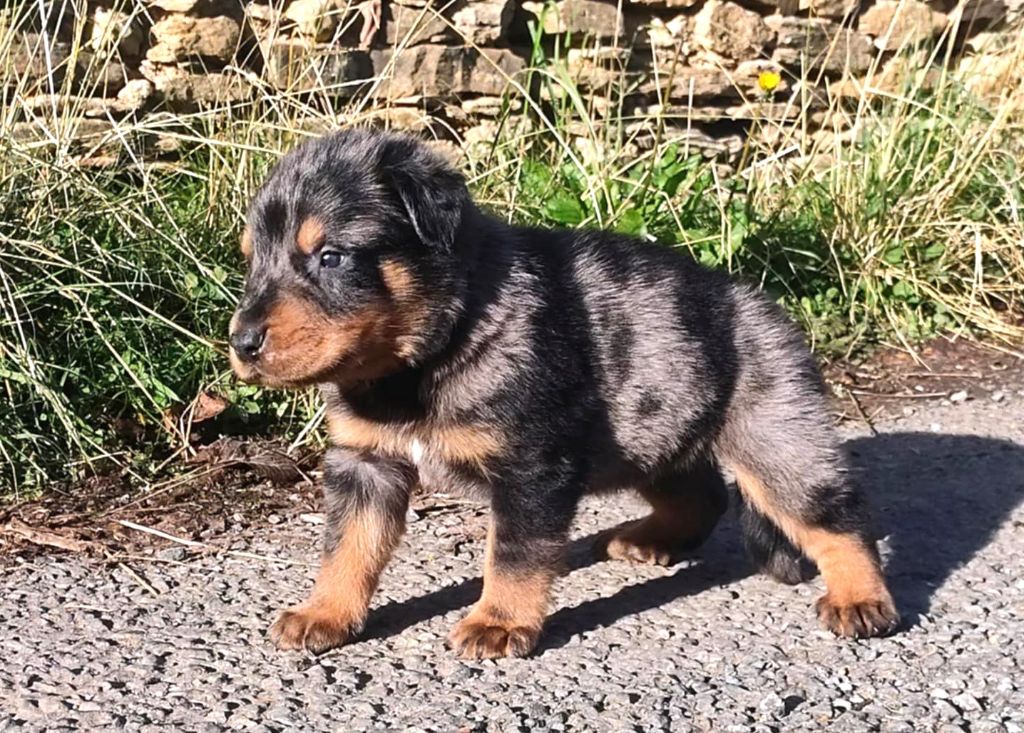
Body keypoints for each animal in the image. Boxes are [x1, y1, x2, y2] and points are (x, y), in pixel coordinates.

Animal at [228, 128, 899, 659]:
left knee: (839, 519)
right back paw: (649, 539)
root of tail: (767, 306)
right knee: (702, 491)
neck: (432, 349)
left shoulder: (532, 467)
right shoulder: (364, 464)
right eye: (252, 262)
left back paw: (861, 599)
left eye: (331, 257)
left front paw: (498, 623)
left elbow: (514, 555)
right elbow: (347, 548)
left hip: (775, 439)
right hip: (653, 430)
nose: (241, 342)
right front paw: (325, 613)